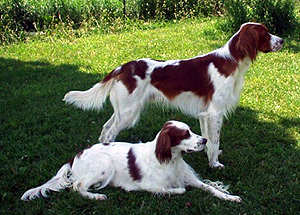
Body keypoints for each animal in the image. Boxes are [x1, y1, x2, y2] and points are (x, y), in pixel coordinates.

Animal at [20, 121, 241, 202]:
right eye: (184, 134)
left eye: (192, 130)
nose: (204, 140)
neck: (171, 160)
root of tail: (75, 157)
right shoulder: (150, 186)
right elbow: (178, 190)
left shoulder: (192, 179)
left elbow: (210, 187)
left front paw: (229, 196)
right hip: (104, 165)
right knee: (77, 186)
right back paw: (96, 196)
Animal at [63, 23, 284, 168]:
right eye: (265, 34)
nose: (282, 40)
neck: (232, 61)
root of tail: (123, 67)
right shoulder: (215, 113)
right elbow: (215, 140)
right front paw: (215, 164)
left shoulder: (205, 113)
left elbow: (208, 140)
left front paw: (208, 154)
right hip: (129, 112)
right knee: (109, 133)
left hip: (123, 109)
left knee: (105, 129)